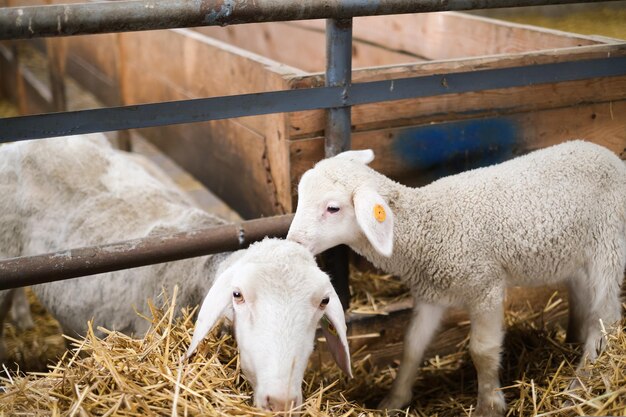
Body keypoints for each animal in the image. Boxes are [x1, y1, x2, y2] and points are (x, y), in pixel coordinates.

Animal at [286, 141, 624, 416]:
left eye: (332, 208)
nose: (293, 243)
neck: (428, 225)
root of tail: (609, 155)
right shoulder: (431, 294)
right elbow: (412, 345)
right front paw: (393, 401)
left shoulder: (486, 286)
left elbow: (482, 350)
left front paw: (489, 404)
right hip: (575, 257)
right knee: (584, 302)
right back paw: (573, 345)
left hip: (608, 246)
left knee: (605, 317)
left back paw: (580, 384)